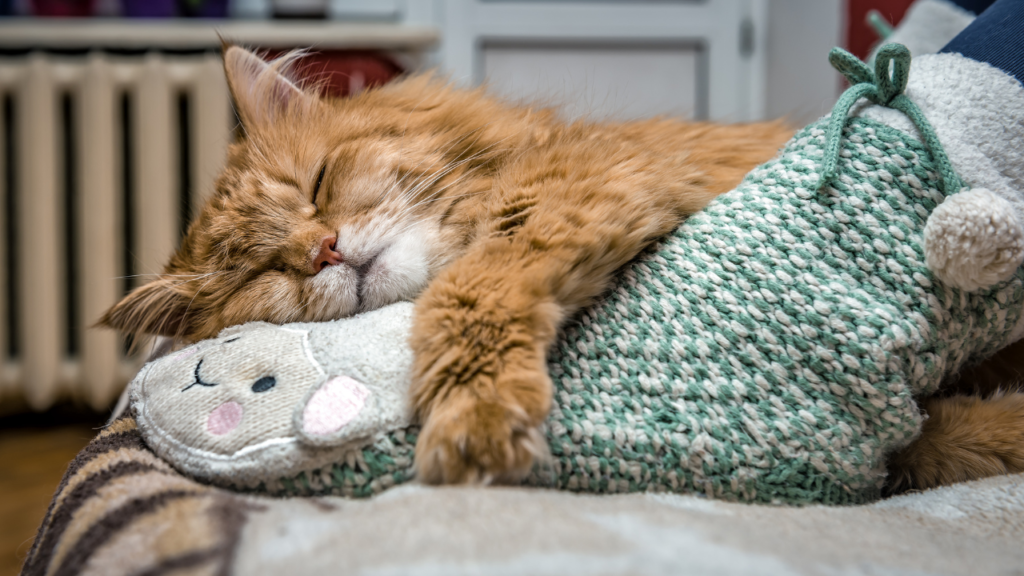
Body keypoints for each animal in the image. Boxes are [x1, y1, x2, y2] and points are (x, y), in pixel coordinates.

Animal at [97, 47, 1024, 491]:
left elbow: (469, 293)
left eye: (317, 185)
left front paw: (472, 421)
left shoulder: (580, 191)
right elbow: (934, 446)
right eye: (262, 272)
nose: (322, 251)